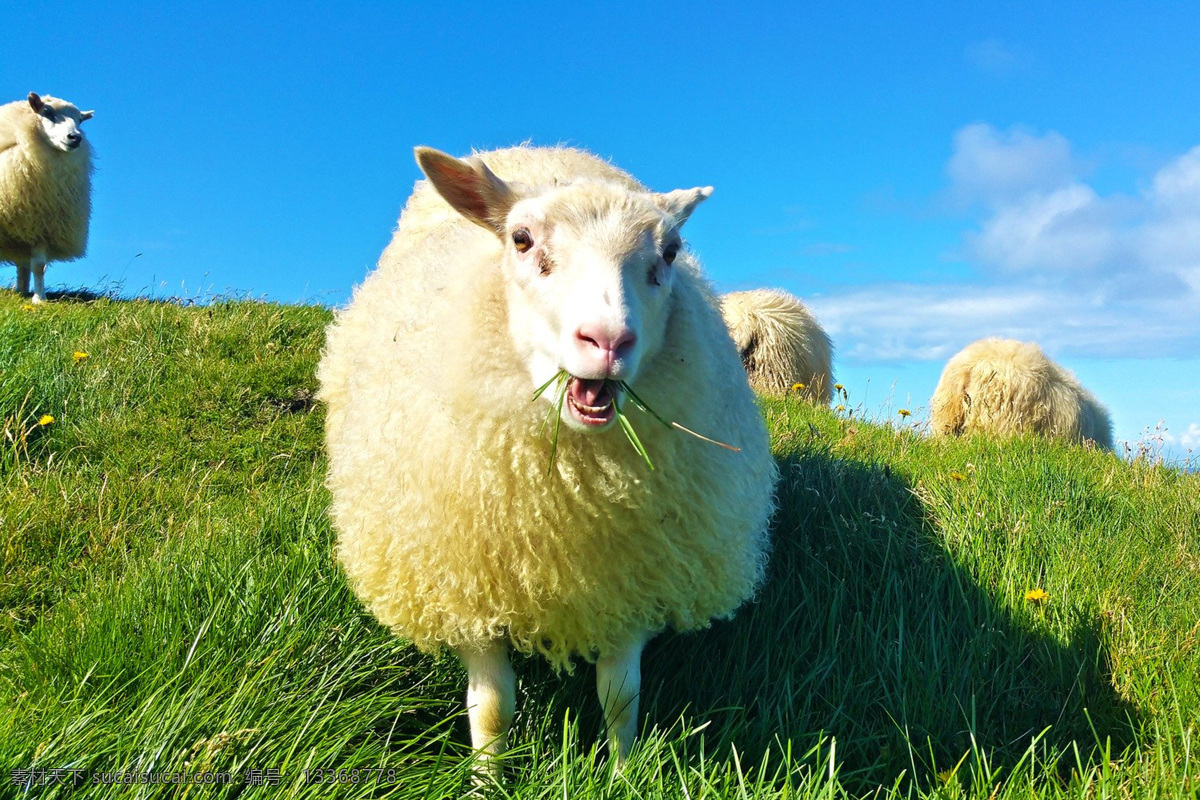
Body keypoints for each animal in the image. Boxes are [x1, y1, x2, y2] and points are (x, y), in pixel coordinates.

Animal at [0, 92, 94, 302]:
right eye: (47, 112)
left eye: (80, 120)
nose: (75, 138)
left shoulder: (44, 225)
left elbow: (38, 265)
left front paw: (39, 299)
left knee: (23, 266)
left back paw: (22, 291)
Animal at [318, 145, 777, 777]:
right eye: (521, 240)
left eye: (669, 252)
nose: (607, 341)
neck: (566, 500)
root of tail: (540, 148)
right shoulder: (465, 578)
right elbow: (492, 707)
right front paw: (487, 778)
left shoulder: (631, 576)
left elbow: (620, 697)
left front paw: (623, 774)